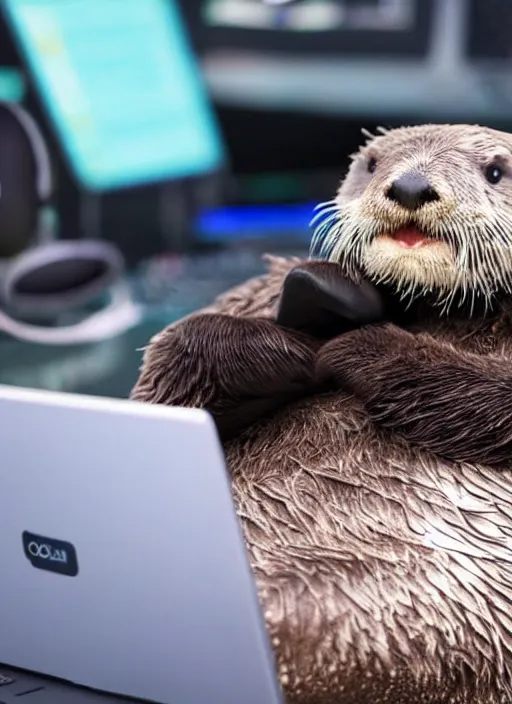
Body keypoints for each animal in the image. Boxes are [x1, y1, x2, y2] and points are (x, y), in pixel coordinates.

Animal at [131, 126, 512, 704]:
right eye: (373, 163)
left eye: (495, 171)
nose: (411, 185)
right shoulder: (254, 294)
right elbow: (161, 382)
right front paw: (300, 331)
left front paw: (360, 345)